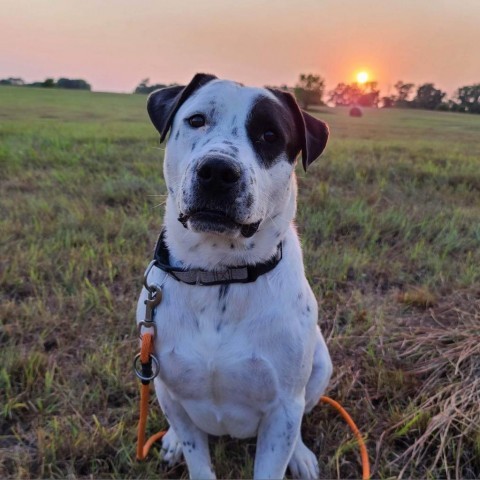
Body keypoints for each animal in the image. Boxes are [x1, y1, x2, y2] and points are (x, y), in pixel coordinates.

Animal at [137, 73, 334, 478]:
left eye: (270, 135)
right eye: (196, 120)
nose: (217, 171)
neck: (218, 275)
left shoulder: (282, 411)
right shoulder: (170, 389)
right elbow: (198, 460)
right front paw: (180, 444)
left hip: (322, 366)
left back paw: (301, 455)